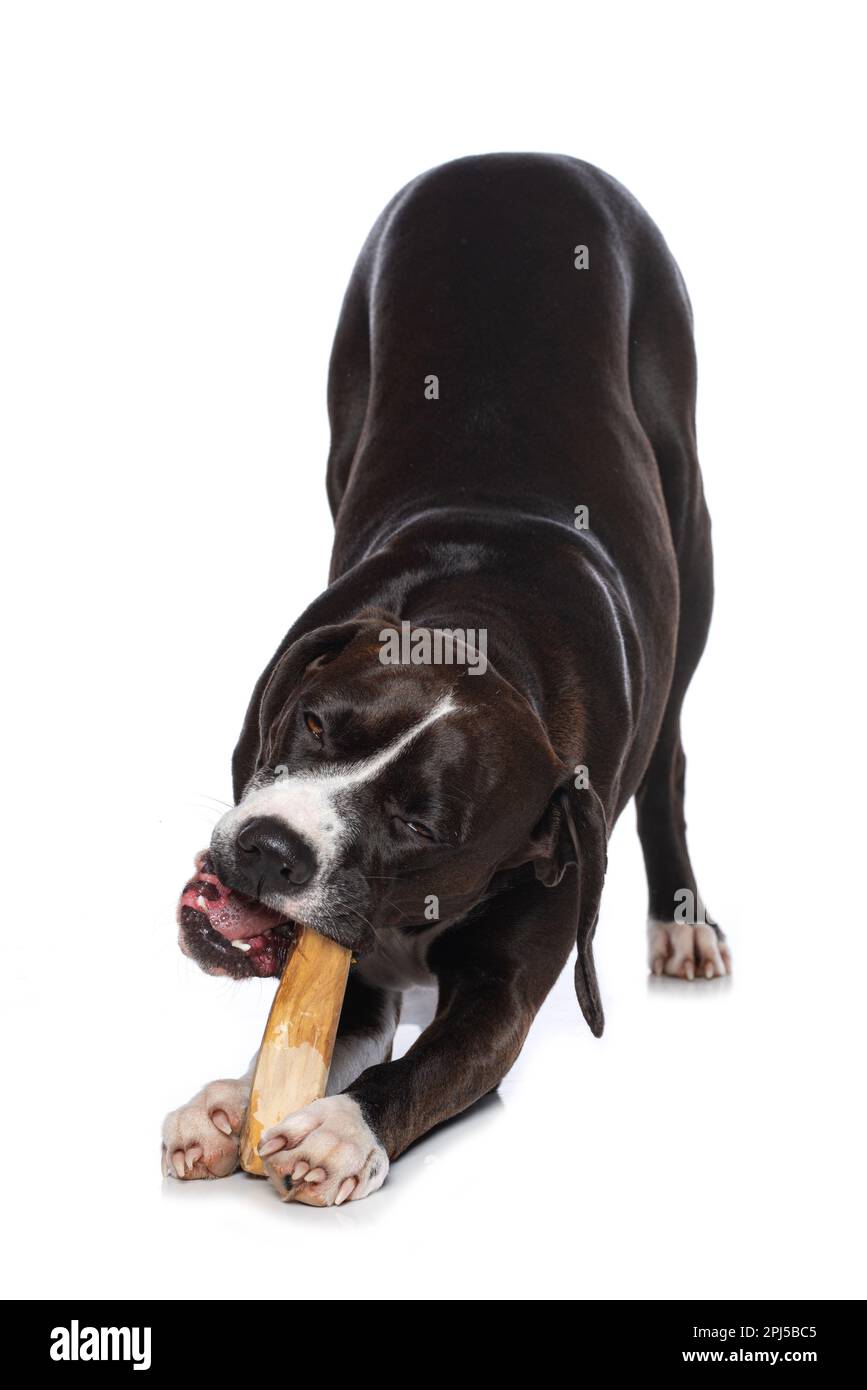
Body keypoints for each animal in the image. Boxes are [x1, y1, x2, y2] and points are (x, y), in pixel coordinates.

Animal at [161, 154, 722, 1206]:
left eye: (421, 827)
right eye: (311, 724)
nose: (267, 848)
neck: (491, 628)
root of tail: (520, 157)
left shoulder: (511, 982)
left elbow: (431, 1064)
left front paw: (343, 1127)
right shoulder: (349, 969)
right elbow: (308, 1035)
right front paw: (230, 1103)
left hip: (693, 525)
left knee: (669, 757)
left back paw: (683, 922)